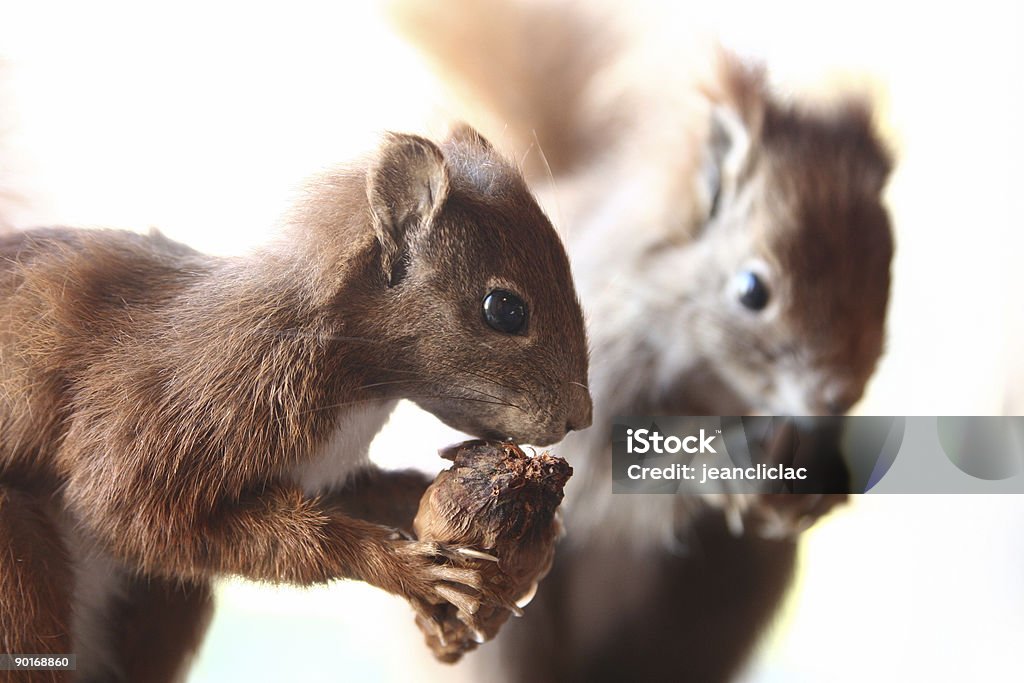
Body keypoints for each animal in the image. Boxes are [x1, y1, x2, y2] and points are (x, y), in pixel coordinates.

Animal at [0, 125, 593, 679]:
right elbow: (128, 515)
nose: (580, 418)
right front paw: (402, 566)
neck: (360, 380)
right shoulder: (181, 406)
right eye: (504, 309)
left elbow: (366, 492)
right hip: (21, 572)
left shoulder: (320, 468)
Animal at [387, 2, 892, 679]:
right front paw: (725, 467)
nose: (834, 396)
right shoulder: (586, 386)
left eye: (887, 269)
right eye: (752, 290)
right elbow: (609, 477)